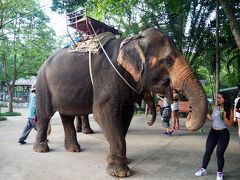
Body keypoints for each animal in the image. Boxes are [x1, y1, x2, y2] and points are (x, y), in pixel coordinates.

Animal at [32, 27, 207, 177]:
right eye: (168, 61)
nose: (187, 115)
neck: (133, 40)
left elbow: (126, 116)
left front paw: (117, 161)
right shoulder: (107, 76)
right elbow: (102, 113)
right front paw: (121, 172)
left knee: (66, 115)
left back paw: (74, 149)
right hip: (42, 84)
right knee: (45, 114)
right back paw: (41, 149)